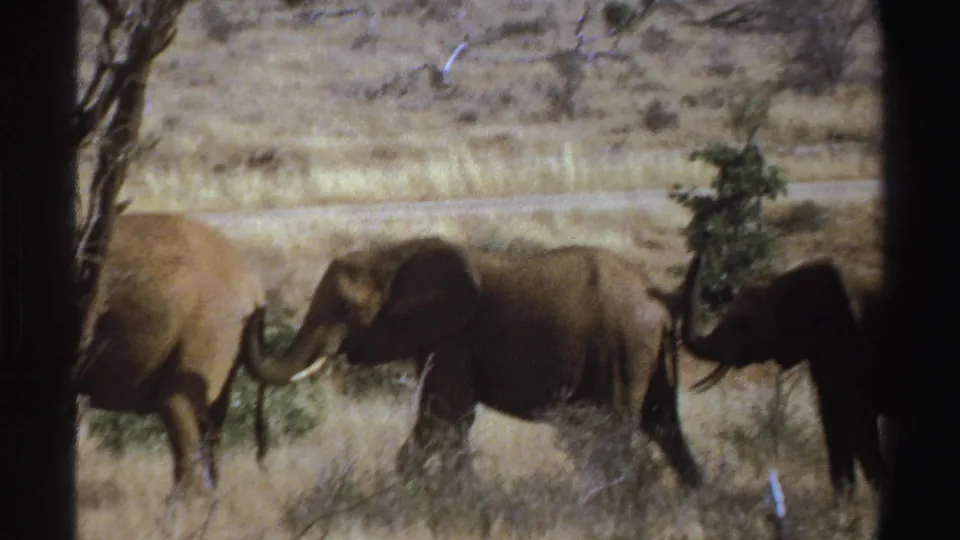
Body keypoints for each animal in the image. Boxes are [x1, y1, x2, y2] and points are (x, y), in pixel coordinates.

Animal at [263, 235, 705, 488]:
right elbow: (454, 422)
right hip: (648, 355)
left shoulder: (455, 340)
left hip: (623, 347)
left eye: (343, 306)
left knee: (618, 432)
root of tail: (662, 302)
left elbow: (442, 416)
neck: (392, 254)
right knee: (666, 426)